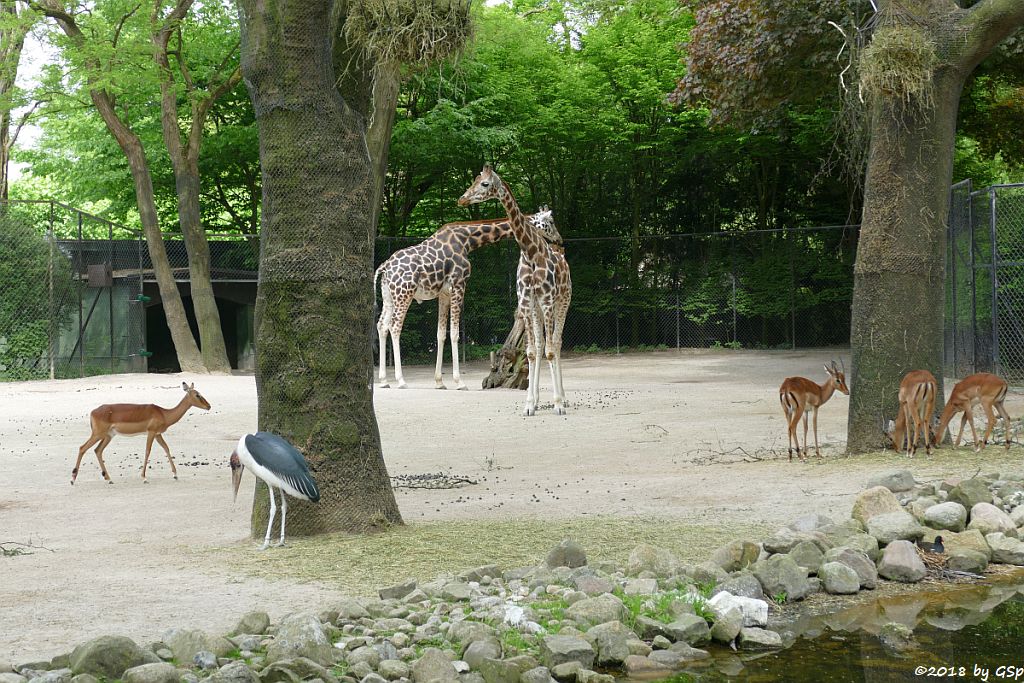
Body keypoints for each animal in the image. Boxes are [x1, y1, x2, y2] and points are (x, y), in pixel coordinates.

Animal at [374, 209, 557, 389]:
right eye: (551, 222)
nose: (559, 240)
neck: (467, 241)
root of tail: (385, 266)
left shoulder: (444, 294)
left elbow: (441, 334)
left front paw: (439, 382)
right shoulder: (459, 285)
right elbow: (455, 334)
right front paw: (459, 382)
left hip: (389, 296)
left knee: (382, 325)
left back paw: (383, 381)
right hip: (404, 293)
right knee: (395, 326)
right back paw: (400, 380)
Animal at [460, 165, 573, 417]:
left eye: (484, 184)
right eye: (476, 180)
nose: (462, 199)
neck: (531, 253)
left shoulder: (548, 300)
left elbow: (551, 350)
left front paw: (558, 405)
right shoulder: (527, 302)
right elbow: (532, 351)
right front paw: (530, 404)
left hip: (562, 302)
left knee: (557, 343)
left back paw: (563, 398)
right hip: (539, 309)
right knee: (541, 345)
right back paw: (542, 399)